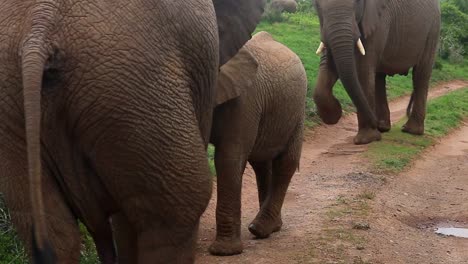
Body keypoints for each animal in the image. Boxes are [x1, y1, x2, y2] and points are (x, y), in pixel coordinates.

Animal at [208, 31, 308, 256]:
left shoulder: (245, 99)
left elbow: (230, 157)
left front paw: (224, 252)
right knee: (262, 164)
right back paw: (271, 226)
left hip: (296, 111)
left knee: (285, 163)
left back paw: (260, 229)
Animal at [312, 0, 440, 144]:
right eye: (317, 5)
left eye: (357, 2)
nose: (373, 122)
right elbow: (327, 65)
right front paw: (333, 115)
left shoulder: (379, 22)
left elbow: (363, 70)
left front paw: (366, 139)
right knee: (379, 77)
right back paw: (383, 127)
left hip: (433, 30)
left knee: (420, 75)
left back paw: (410, 130)